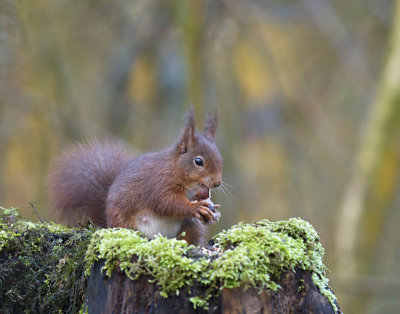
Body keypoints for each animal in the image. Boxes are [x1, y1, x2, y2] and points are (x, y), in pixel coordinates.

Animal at [47, 109, 222, 247]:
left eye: (219, 157)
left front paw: (212, 208)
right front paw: (196, 207)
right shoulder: (159, 183)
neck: (176, 169)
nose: (217, 182)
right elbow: (167, 202)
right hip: (125, 222)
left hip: (190, 226)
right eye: (198, 161)